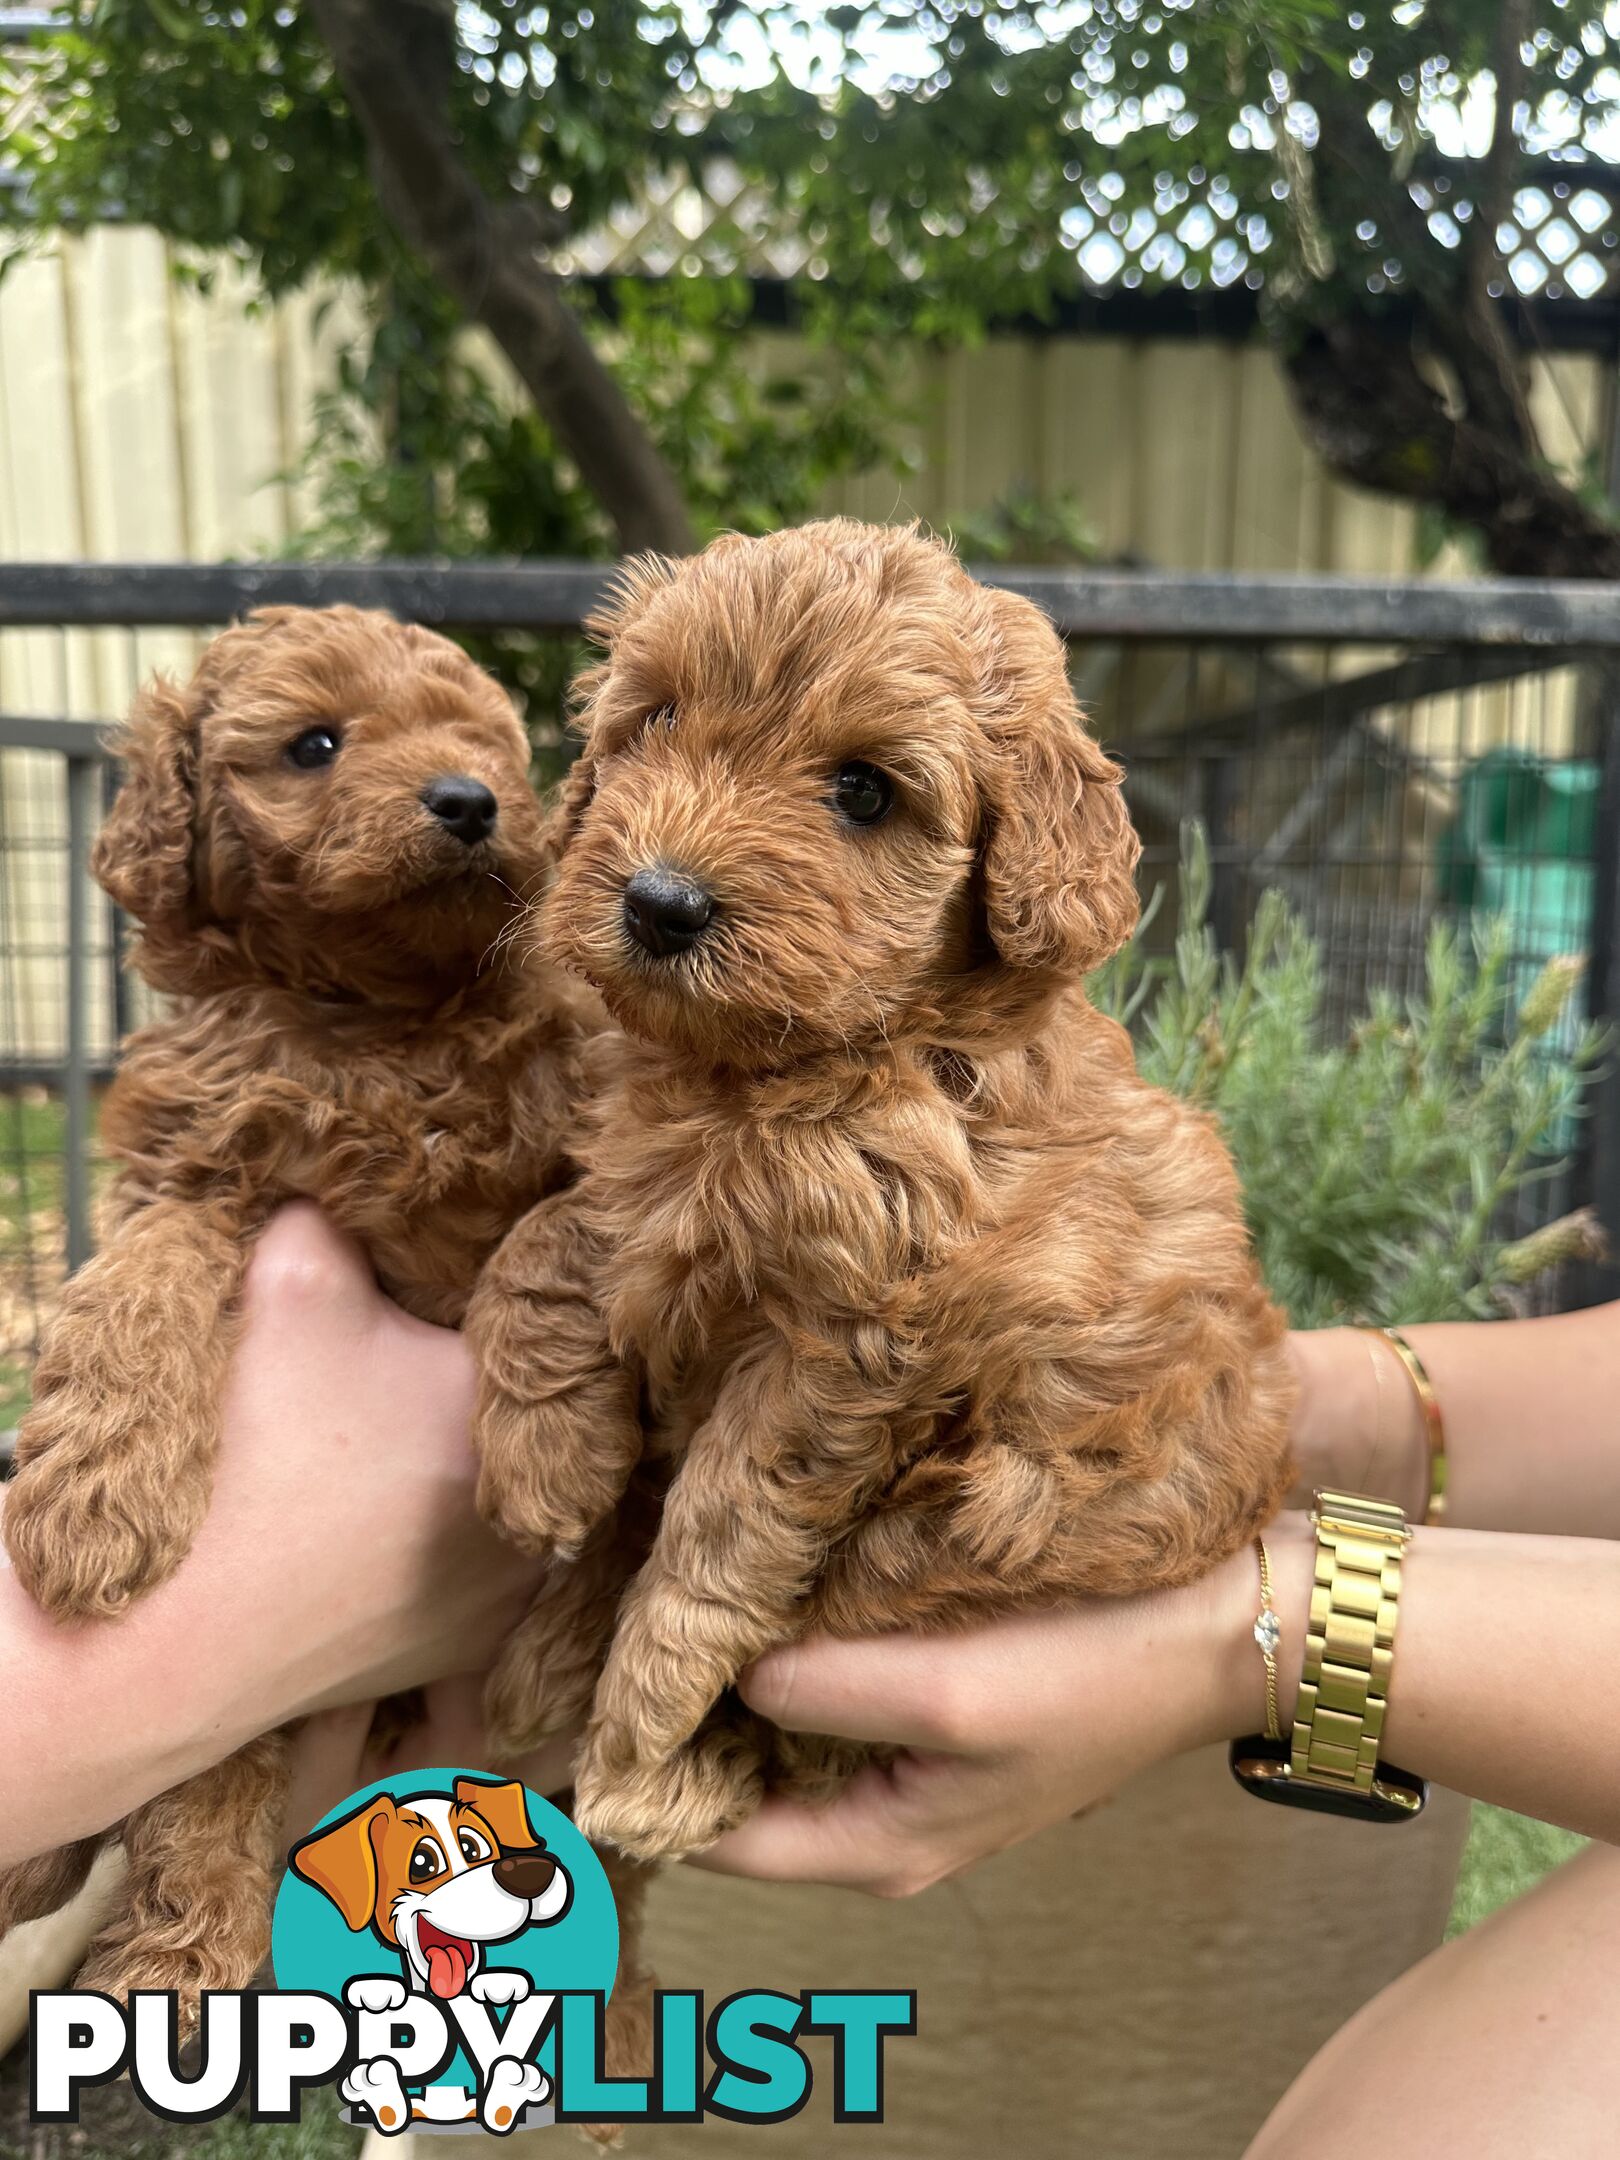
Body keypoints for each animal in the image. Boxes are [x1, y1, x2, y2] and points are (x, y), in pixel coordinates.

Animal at [0, 604, 604, 2004]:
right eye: (315, 744)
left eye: (485, 742)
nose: (469, 800)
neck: (375, 1019)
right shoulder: (194, 1164)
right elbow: (137, 1282)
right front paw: (94, 1495)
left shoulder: (592, 1135)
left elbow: (547, 1238)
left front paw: (550, 1451)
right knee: (212, 1764)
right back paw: (163, 1942)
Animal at [466, 522, 1296, 1874]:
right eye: (658, 717)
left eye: (863, 791)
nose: (658, 902)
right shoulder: (641, 1178)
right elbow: (548, 1235)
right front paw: (546, 1453)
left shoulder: (854, 1341)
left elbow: (723, 1521)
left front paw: (646, 1726)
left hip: (972, 1522)